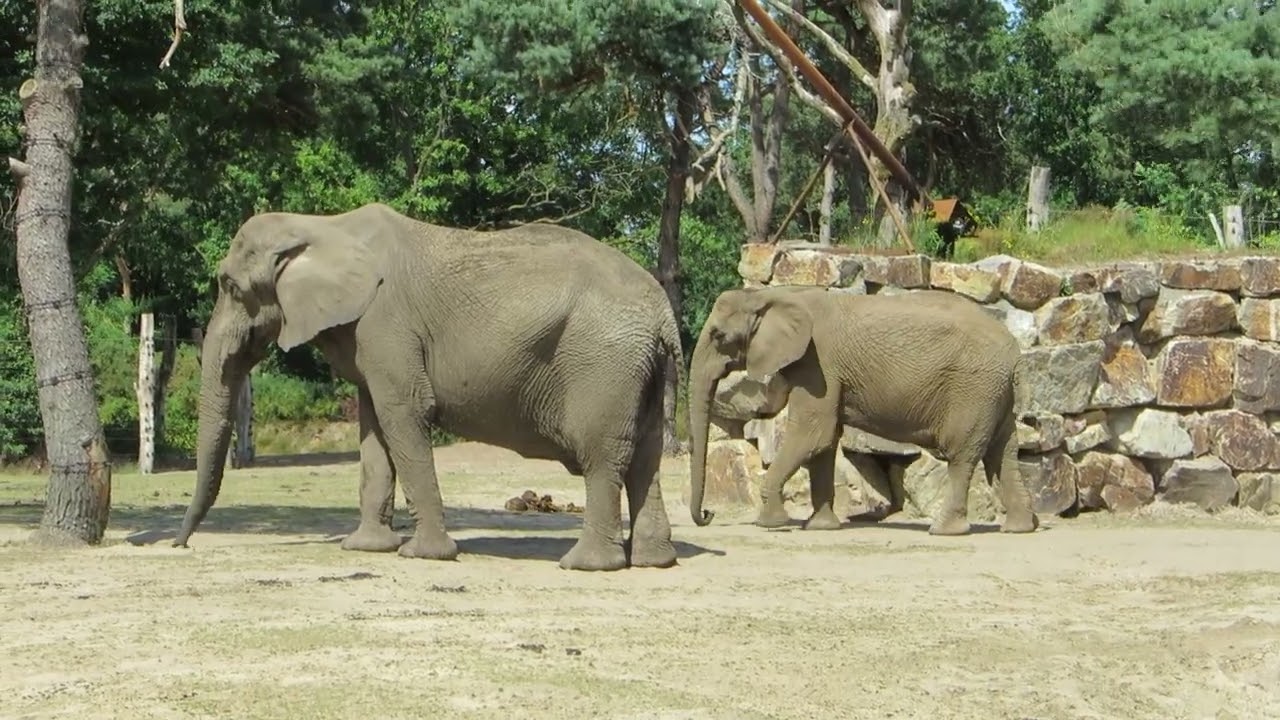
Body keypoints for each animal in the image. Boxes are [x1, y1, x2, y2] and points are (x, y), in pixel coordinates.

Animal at [173, 202, 685, 572]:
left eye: (230, 287)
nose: (180, 545)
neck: (321, 226)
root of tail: (664, 314)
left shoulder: (386, 324)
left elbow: (404, 414)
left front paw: (423, 555)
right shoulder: (369, 338)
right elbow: (375, 431)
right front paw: (365, 549)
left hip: (604, 365)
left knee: (602, 457)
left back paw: (586, 565)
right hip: (638, 369)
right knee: (645, 456)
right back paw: (653, 561)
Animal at [686, 285, 1039, 536]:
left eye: (718, 335)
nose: (708, 515)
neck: (776, 294)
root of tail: (1016, 354)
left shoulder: (818, 365)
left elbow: (813, 433)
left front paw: (772, 524)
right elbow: (824, 441)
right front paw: (821, 527)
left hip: (973, 389)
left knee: (962, 454)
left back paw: (943, 531)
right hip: (994, 394)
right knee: (1003, 452)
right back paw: (1019, 528)